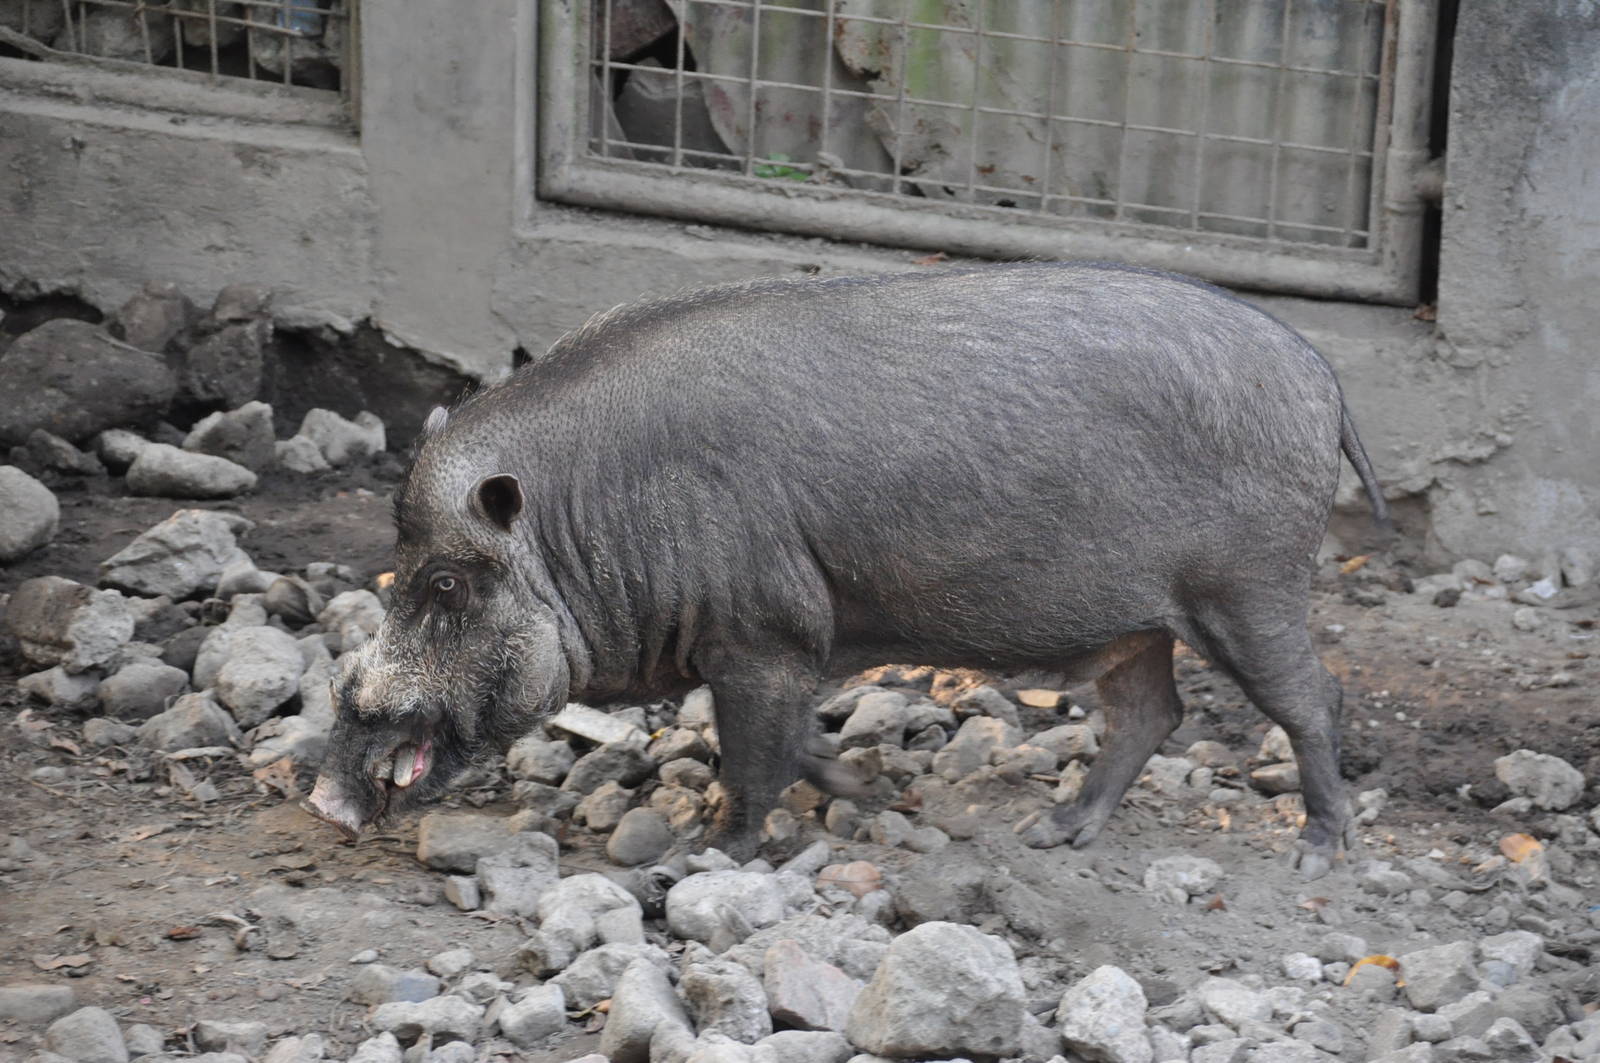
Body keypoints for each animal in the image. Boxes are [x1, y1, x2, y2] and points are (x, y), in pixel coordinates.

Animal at [304, 262, 1388, 880]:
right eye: (400, 569)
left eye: (447, 585)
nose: (321, 803)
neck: (587, 522)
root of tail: (1328, 385)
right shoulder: (774, 650)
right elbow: (786, 744)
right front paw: (874, 794)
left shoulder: (764, 635)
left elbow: (752, 758)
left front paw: (707, 858)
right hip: (1141, 622)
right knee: (1150, 712)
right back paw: (1054, 834)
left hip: (1247, 586)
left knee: (1312, 700)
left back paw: (1314, 854)